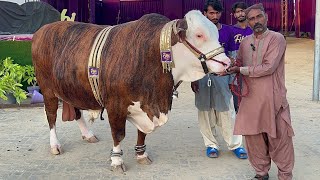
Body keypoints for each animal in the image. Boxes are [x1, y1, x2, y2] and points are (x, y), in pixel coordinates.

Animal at [31, 10, 230, 173]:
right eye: (199, 34)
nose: (227, 63)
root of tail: (44, 29)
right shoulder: (115, 104)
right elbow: (118, 134)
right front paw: (117, 161)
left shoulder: (144, 105)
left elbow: (142, 132)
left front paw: (141, 155)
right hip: (47, 89)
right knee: (51, 116)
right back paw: (55, 145)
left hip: (70, 88)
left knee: (76, 111)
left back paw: (88, 135)